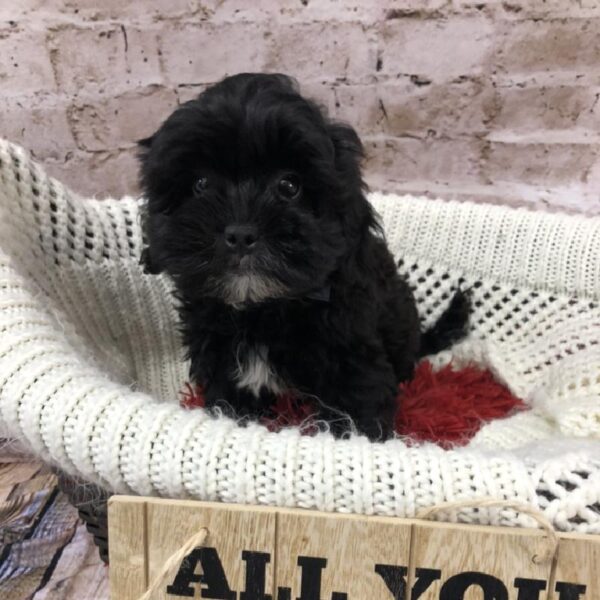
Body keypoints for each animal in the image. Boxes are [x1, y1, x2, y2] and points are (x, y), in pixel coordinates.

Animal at [138, 75, 466, 440]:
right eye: (200, 183)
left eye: (289, 185)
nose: (241, 233)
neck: (262, 310)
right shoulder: (222, 364)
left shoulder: (351, 358)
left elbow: (357, 413)